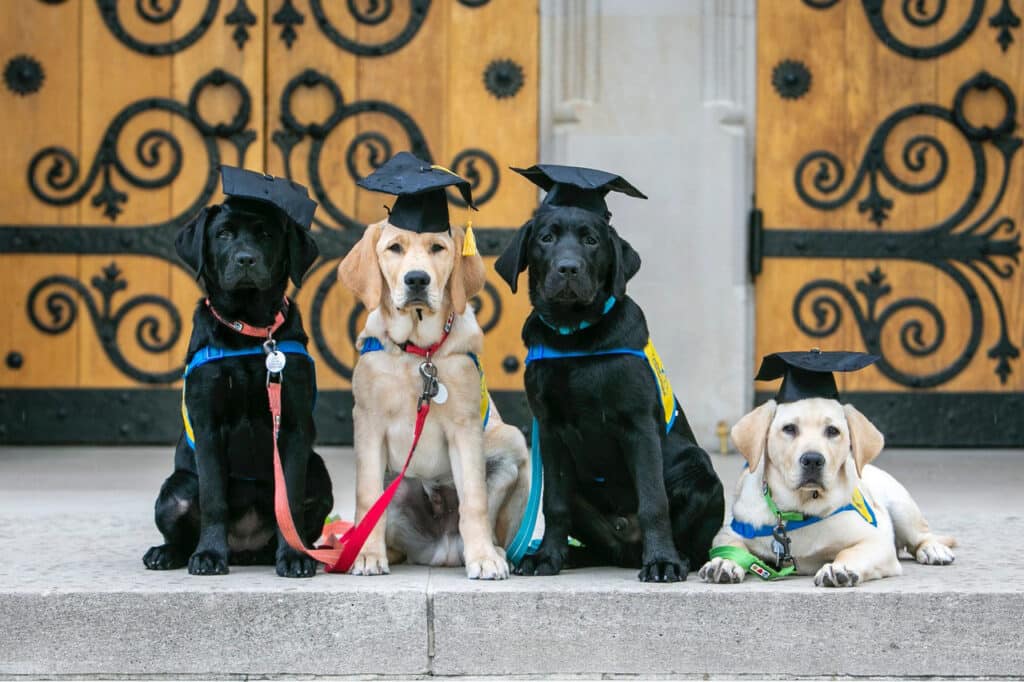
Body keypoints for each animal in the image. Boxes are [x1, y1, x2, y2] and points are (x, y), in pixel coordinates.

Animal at [143, 166, 331, 577]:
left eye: (267, 235)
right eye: (224, 234)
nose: (246, 260)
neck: (249, 330)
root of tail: (244, 546)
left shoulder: (292, 426)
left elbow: (289, 501)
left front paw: (293, 557)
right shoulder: (208, 425)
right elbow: (214, 498)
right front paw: (209, 555)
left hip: (319, 473)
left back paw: (294, 551)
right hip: (174, 488)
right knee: (182, 521)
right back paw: (168, 553)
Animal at [337, 219, 528, 577]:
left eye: (437, 248)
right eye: (394, 248)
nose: (417, 279)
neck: (418, 353)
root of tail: (443, 551)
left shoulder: (464, 428)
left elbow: (474, 501)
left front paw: (484, 558)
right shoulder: (368, 424)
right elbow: (367, 497)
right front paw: (368, 556)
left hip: (513, 441)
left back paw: (492, 551)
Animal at [493, 163, 720, 577]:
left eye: (591, 241)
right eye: (546, 238)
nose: (568, 269)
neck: (575, 338)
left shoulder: (639, 425)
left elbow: (653, 501)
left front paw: (661, 562)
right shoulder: (549, 432)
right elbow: (555, 504)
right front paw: (547, 557)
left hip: (699, 467)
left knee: (693, 547)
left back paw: (674, 558)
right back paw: (572, 556)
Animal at [700, 399, 954, 585]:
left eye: (833, 431)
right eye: (789, 429)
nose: (813, 460)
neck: (799, 509)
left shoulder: (876, 541)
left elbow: (851, 552)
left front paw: (839, 567)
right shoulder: (726, 534)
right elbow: (734, 547)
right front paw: (724, 562)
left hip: (902, 507)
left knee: (921, 536)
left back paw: (934, 550)